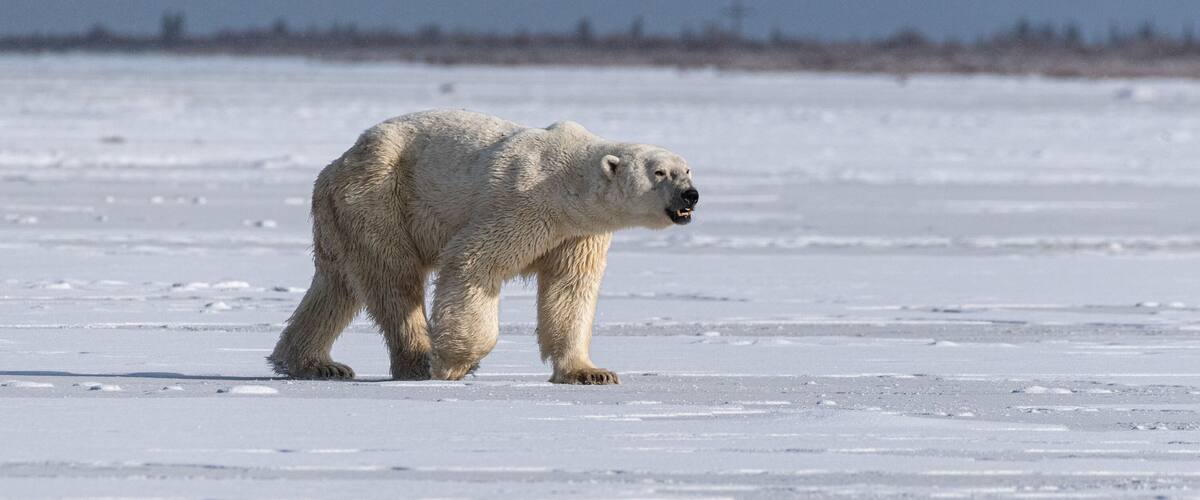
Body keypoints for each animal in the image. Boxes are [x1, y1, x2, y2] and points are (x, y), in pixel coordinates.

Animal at [268, 109, 699, 384]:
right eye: (660, 172)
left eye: (688, 169)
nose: (690, 196)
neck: (567, 184)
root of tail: (337, 164)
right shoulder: (523, 203)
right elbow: (473, 263)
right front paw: (455, 363)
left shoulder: (577, 235)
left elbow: (570, 291)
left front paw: (591, 372)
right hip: (379, 197)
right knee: (393, 277)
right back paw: (419, 359)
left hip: (342, 215)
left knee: (337, 284)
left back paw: (313, 363)